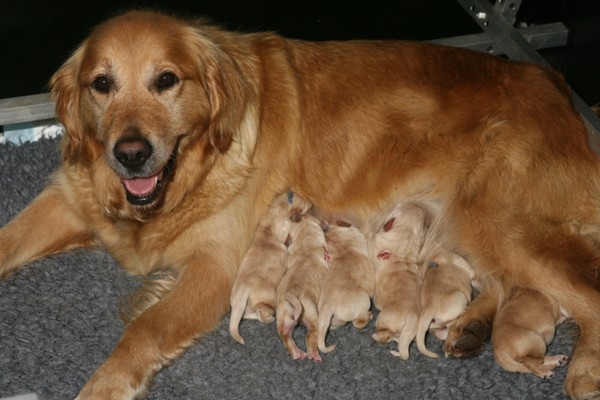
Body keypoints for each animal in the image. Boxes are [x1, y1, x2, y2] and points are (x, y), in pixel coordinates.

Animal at [230, 191, 312, 344]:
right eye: (304, 204)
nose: (311, 203)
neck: (268, 229)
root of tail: (244, 289)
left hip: (239, 303)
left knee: (246, 314)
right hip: (267, 299)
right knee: (261, 312)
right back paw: (270, 316)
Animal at [276, 212, 328, 362]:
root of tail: (293, 296)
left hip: (283, 317)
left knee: (286, 337)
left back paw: (298, 353)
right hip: (312, 315)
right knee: (310, 337)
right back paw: (314, 355)